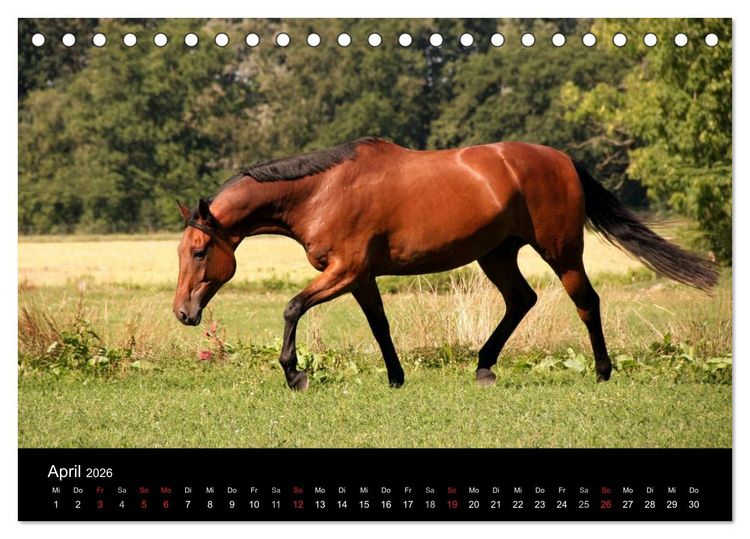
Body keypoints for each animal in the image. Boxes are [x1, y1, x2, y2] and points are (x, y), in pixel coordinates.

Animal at [173, 137, 717, 391]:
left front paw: (295, 374)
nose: (183, 312)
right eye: (181, 252)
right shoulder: (360, 277)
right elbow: (380, 327)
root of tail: (563, 159)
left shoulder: (343, 271)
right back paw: (484, 366)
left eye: (200, 252)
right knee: (521, 300)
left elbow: (291, 308)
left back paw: (602, 371)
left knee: (585, 301)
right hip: (497, 254)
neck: (322, 190)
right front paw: (395, 378)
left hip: (561, 251)